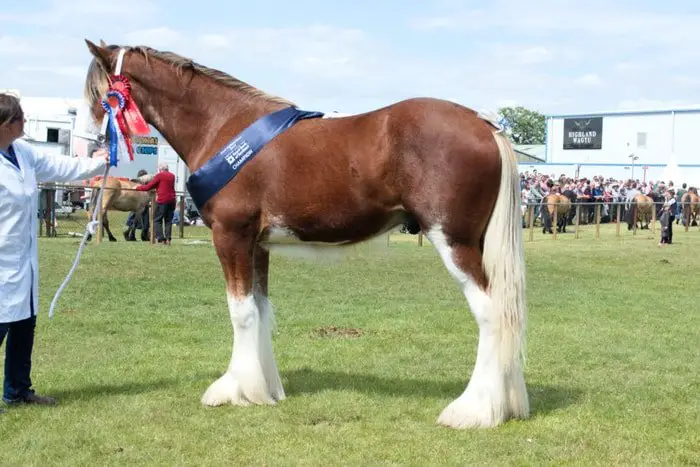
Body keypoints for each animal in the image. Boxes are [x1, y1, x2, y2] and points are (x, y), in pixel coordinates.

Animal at [82, 42, 528, 430]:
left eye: (99, 95)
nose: (93, 150)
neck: (222, 126)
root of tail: (484, 126)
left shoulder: (231, 237)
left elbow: (240, 313)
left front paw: (234, 391)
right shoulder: (257, 245)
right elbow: (260, 310)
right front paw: (264, 389)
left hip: (454, 242)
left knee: (491, 313)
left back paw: (473, 411)